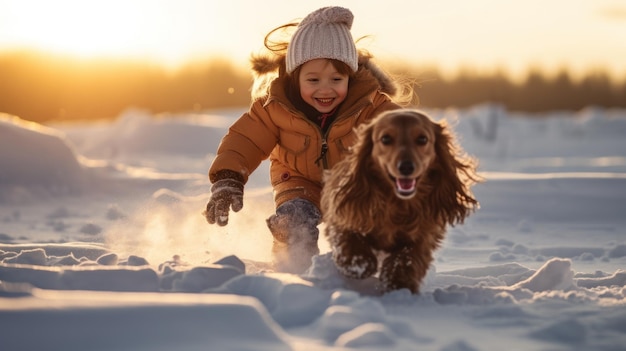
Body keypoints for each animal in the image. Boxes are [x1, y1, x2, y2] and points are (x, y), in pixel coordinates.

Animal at [320, 108, 480, 292]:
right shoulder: (345, 213)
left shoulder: (422, 236)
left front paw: (399, 283)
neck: (397, 204)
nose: (406, 167)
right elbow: (348, 237)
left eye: (422, 139)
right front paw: (359, 264)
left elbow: (407, 258)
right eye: (385, 138)